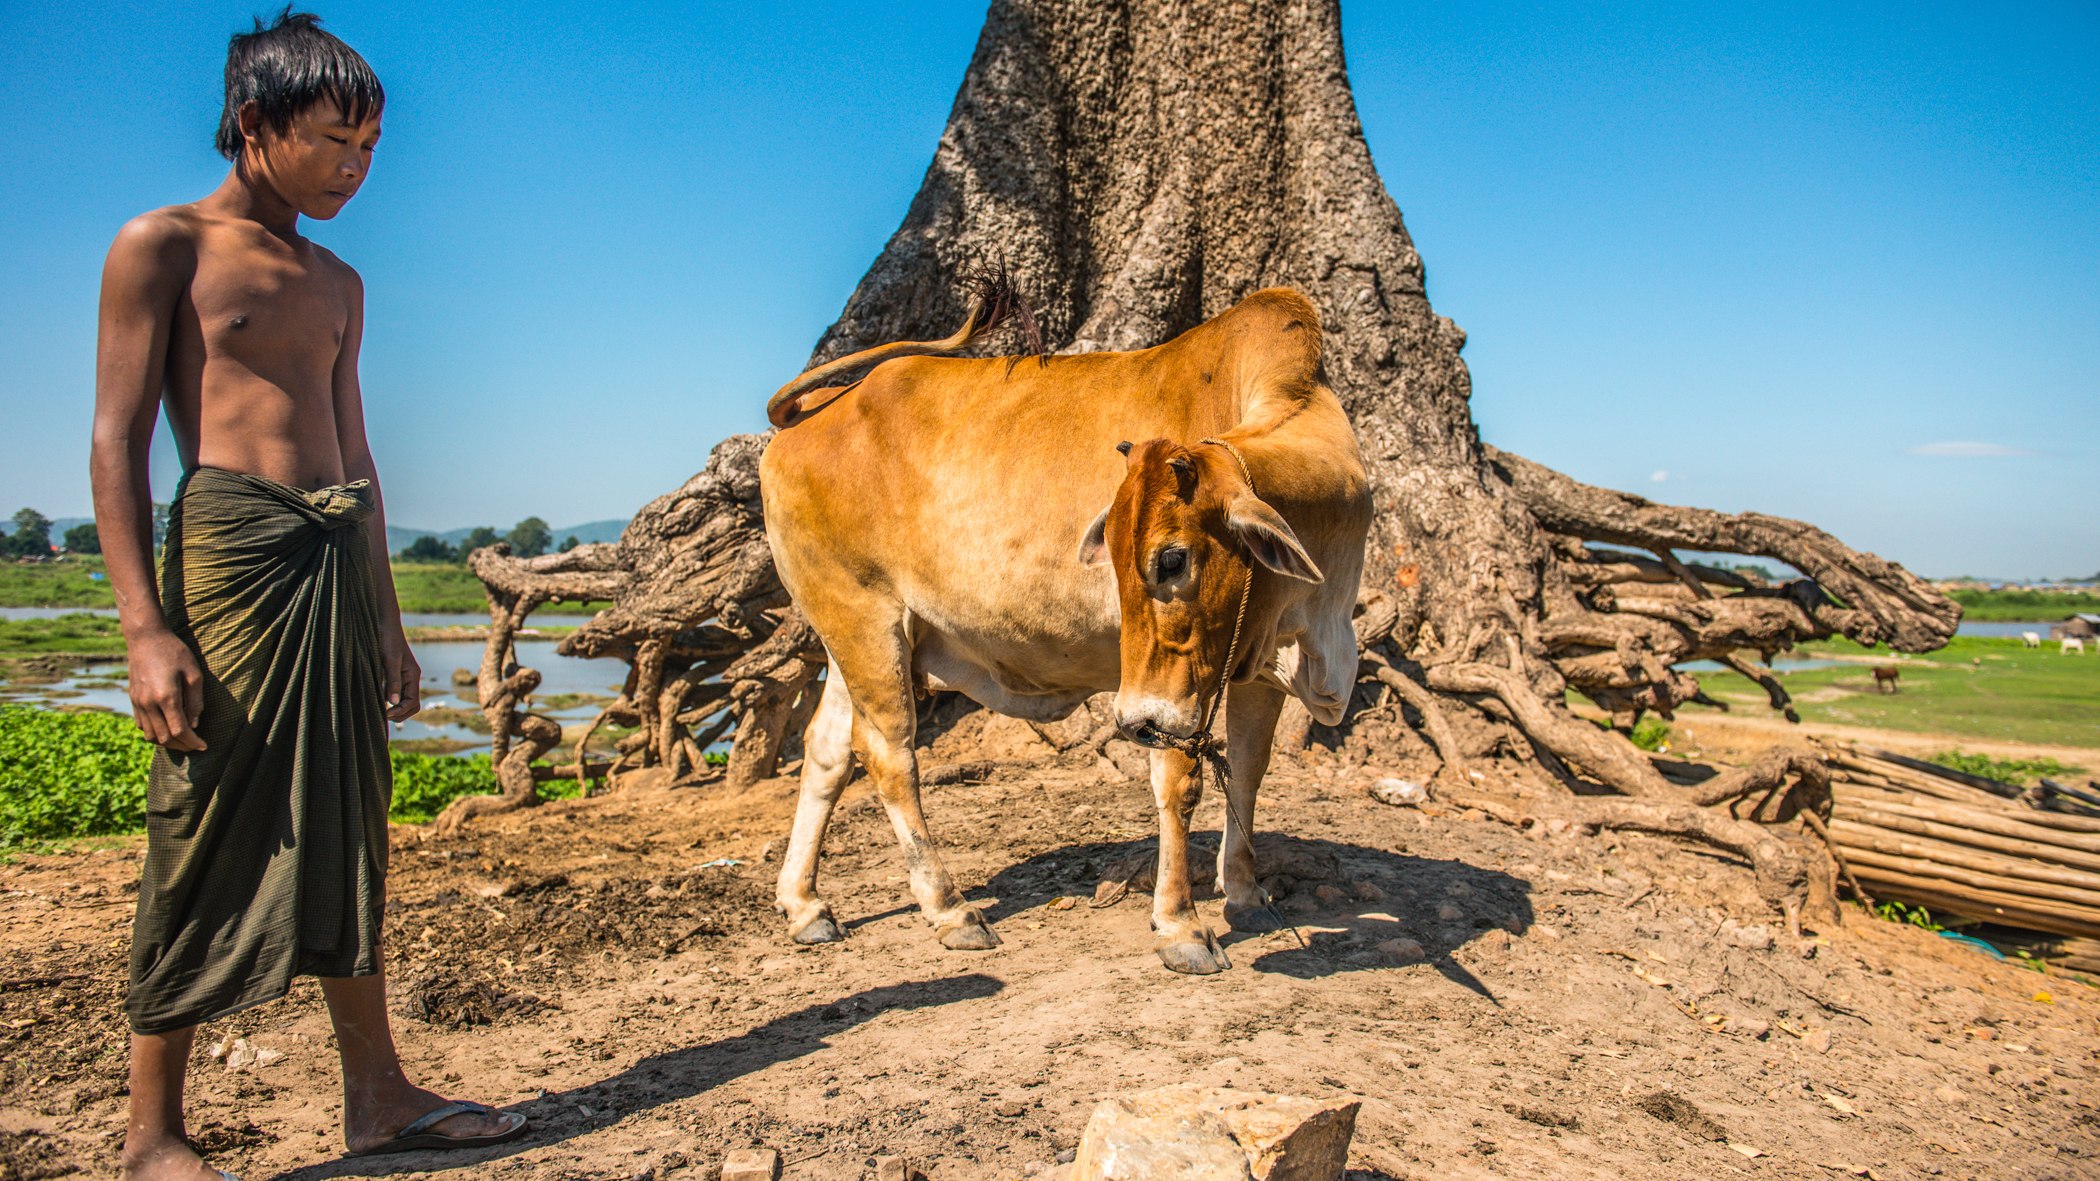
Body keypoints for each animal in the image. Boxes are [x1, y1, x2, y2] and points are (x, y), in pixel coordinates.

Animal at [760, 286, 1371, 974]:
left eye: (1172, 559)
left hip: (854, 633)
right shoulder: (1168, 691)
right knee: (889, 754)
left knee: (827, 750)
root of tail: (812, 414)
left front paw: (1244, 893)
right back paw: (949, 909)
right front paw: (1180, 925)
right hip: (864, 617)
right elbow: (1178, 782)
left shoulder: (1256, 664)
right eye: (1119, 557)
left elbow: (1246, 770)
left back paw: (804, 904)